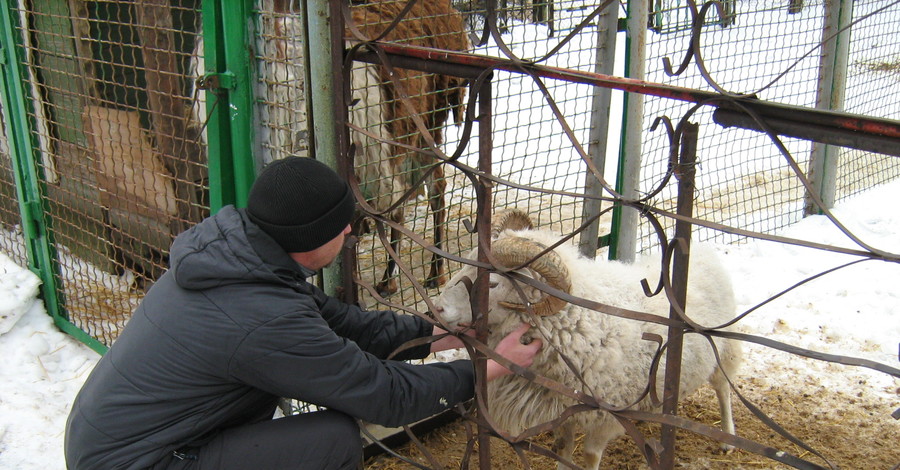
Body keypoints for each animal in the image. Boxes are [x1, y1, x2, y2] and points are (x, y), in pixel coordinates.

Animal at [432, 209, 740, 470]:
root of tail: (702, 249)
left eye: (492, 284)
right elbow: (562, 448)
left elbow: (590, 457)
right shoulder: (564, 408)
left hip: (723, 350)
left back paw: (727, 439)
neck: (579, 322)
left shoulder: (607, 417)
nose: (437, 309)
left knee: (723, 388)